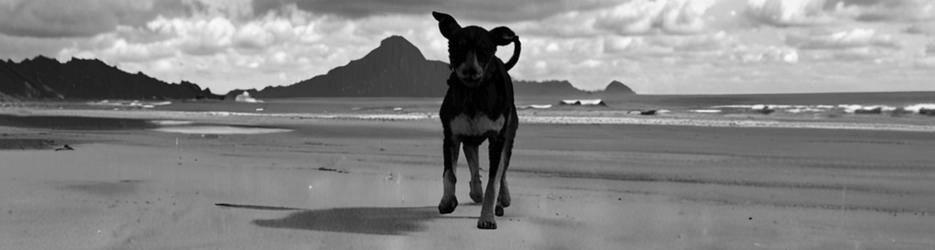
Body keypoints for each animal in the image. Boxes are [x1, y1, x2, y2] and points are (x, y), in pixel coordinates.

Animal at [434, 12, 524, 230]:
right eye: (457, 47)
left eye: (485, 49)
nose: (470, 70)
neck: (473, 93)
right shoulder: (451, 135)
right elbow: (449, 173)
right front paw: (447, 202)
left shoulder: (498, 138)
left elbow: (495, 179)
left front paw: (487, 217)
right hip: (469, 136)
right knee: (472, 156)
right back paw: (476, 191)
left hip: (509, 131)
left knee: (503, 168)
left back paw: (502, 200)